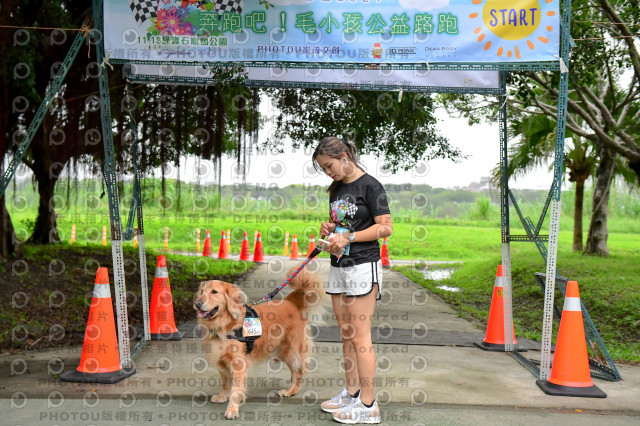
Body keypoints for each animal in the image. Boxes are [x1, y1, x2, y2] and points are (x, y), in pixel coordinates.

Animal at [194, 262, 324, 420]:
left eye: (214, 292)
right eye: (201, 291)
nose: (197, 304)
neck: (224, 325)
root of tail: (291, 302)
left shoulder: (238, 363)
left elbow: (236, 389)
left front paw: (232, 409)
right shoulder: (221, 360)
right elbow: (226, 382)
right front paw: (223, 396)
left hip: (289, 349)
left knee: (297, 370)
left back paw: (291, 391)